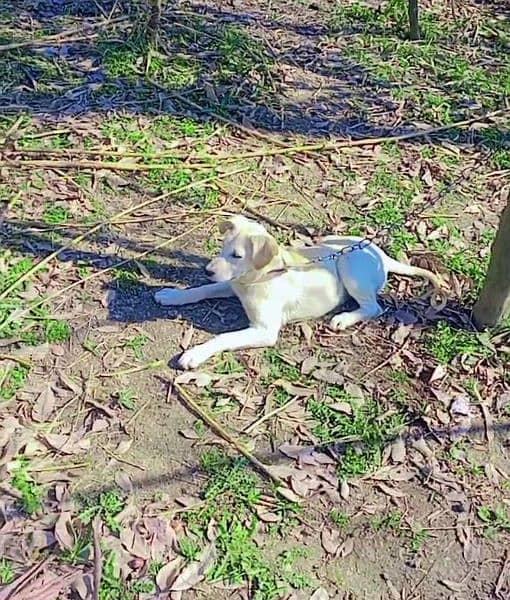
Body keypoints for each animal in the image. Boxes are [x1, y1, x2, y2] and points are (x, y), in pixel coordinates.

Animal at [154, 213, 442, 368]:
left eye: (237, 255)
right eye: (222, 248)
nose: (207, 270)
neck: (258, 279)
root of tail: (381, 255)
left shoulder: (264, 331)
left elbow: (223, 337)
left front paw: (194, 354)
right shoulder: (231, 283)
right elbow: (203, 289)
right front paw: (173, 295)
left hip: (348, 263)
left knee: (374, 307)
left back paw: (343, 318)